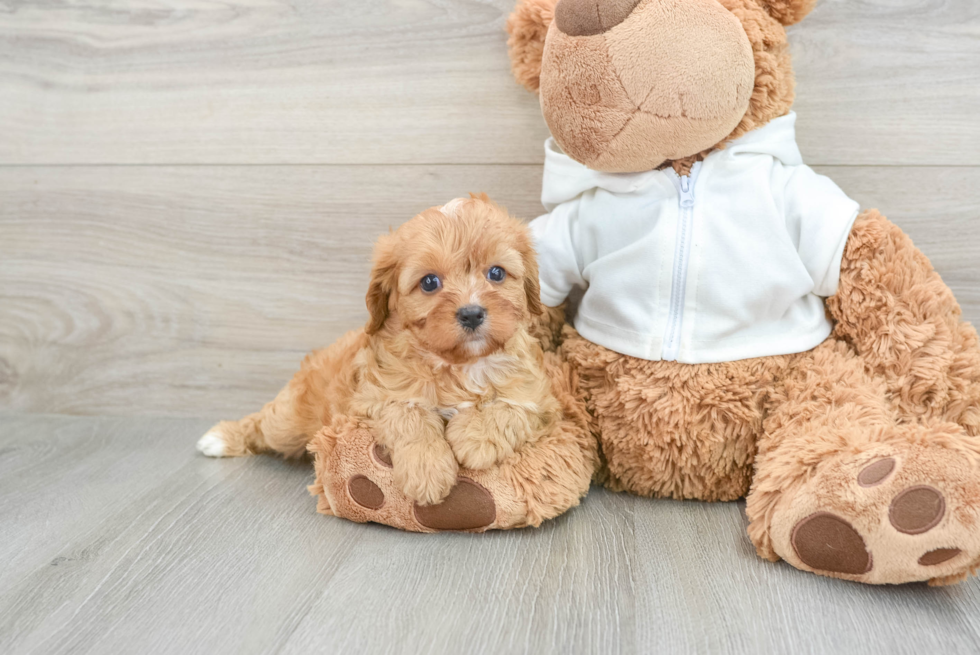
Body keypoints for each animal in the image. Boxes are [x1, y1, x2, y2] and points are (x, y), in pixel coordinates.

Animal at [196, 195, 564, 508]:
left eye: (496, 273)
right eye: (429, 283)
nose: (472, 313)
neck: (457, 365)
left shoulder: (541, 398)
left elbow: (512, 408)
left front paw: (474, 439)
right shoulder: (376, 397)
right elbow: (409, 415)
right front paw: (426, 471)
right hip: (288, 422)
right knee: (262, 423)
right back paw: (220, 438)